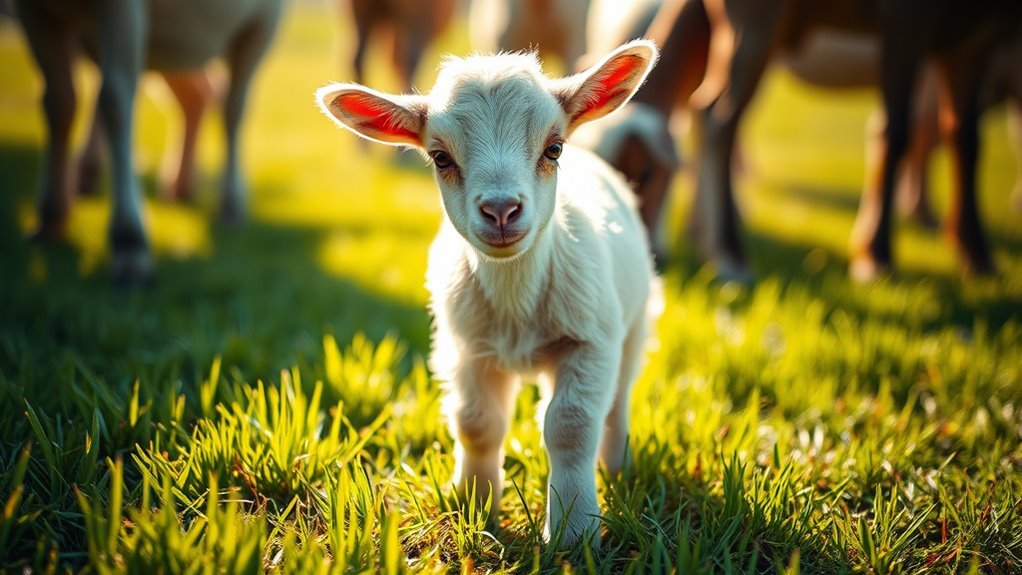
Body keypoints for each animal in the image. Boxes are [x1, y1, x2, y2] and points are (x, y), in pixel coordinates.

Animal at [16, 0, 282, 284]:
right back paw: (179, 189)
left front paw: (130, 243)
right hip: (174, 40)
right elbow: (58, 103)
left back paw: (231, 206)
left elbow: (115, 99)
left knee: (234, 108)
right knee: (197, 95)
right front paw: (49, 221)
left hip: (261, 23)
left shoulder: (123, 8)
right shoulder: (34, 11)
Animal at [317, 40, 659, 546]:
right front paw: (474, 507)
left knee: (619, 397)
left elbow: (571, 426)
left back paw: (618, 467)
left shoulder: (590, 341)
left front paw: (574, 532)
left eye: (553, 148)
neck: (515, 302)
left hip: (633, 325)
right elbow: (476, 424)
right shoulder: (465, 349)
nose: (501, 210)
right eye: (440, 158)